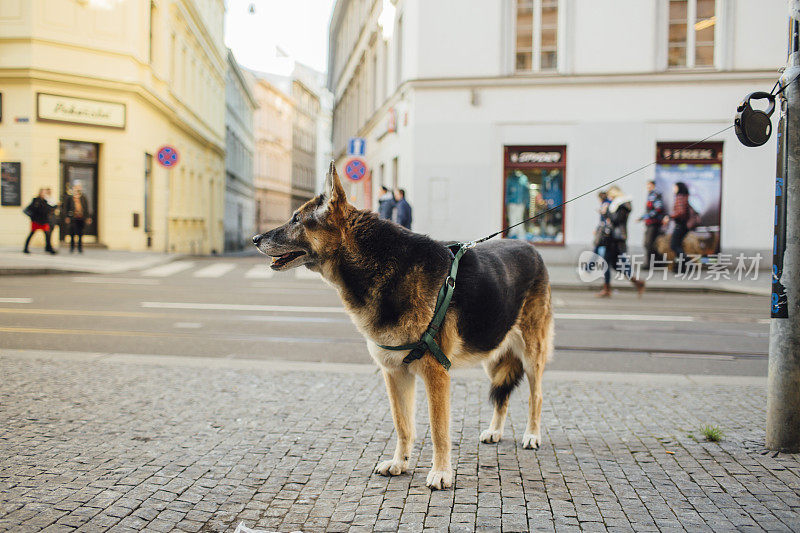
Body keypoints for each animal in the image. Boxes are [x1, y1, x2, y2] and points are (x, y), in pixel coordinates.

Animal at [253, 163, 552, 490]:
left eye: (297, 219)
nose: (255, 238)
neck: (377, 265)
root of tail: (531, 247)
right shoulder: (395, 373)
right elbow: (403, 425)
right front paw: (400, 464)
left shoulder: (436, 375)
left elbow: (438, 430)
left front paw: (441, 472)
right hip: (492, 350)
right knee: (502, 394)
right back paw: (495, 431)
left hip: (531, 355)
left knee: (536, 396)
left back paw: (533, 435)